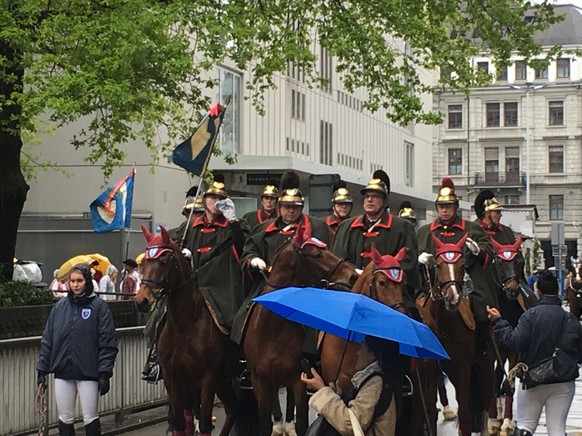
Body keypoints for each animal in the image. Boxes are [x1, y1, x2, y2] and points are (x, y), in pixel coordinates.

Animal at [135, 227, 240, 436]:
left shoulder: (207, 379)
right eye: (143, 263)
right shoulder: (173, 378)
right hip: (223, 380)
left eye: (164, 260)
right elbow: (179, 422)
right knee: (233, 410)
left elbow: (205, 423)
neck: (185, 326)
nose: (142, 300)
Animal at [242, 225, 360, 436]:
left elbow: (303, 423)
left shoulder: (299, 381)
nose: (353, 275)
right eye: (316, 255)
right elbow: (264, 424)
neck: (272, 331)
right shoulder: (260, 382)